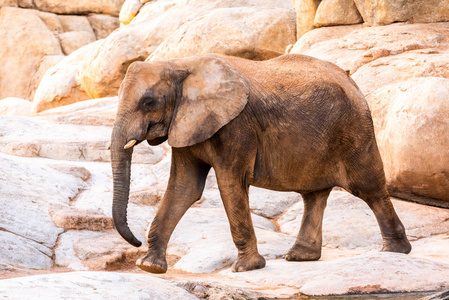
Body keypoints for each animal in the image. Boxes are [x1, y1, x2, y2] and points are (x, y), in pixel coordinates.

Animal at [110, 52, 412, 274]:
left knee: (369, 188)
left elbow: (230, 185)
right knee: (314, 194)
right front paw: (149, 267)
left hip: (355, 129)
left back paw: (395, 252)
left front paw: (247, 268)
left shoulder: (236, 127)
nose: (136, 241)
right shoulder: (187, 123)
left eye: (148, 102)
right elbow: (184, 188)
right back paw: (301, 257)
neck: (181, 64)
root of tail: (354, 83)